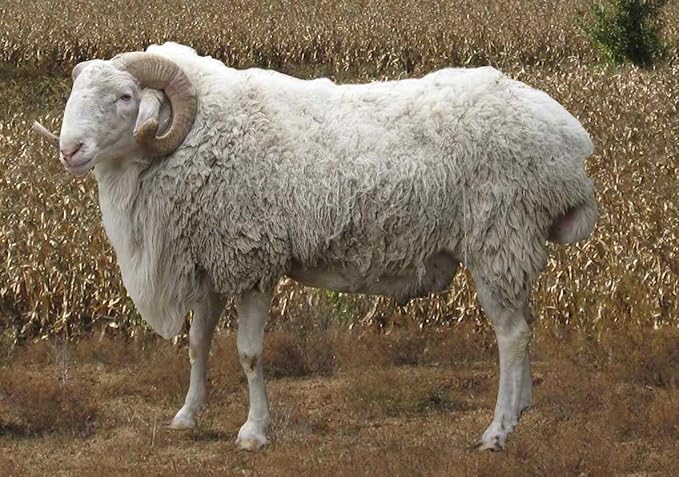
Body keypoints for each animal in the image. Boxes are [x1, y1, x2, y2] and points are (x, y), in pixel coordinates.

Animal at [33, 41, 598, 452]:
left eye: (126, 97)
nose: (69, 150)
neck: (198, 135)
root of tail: (572, 146)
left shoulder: (253, 258)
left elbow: (248, 352)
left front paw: (253, 432)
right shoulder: (213, 261)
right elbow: (197, 344)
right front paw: (187, 415)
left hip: (497, 237)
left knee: (511, 336)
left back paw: (497, 432)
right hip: (512, 246)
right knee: (524, 326)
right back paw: (520, 410)